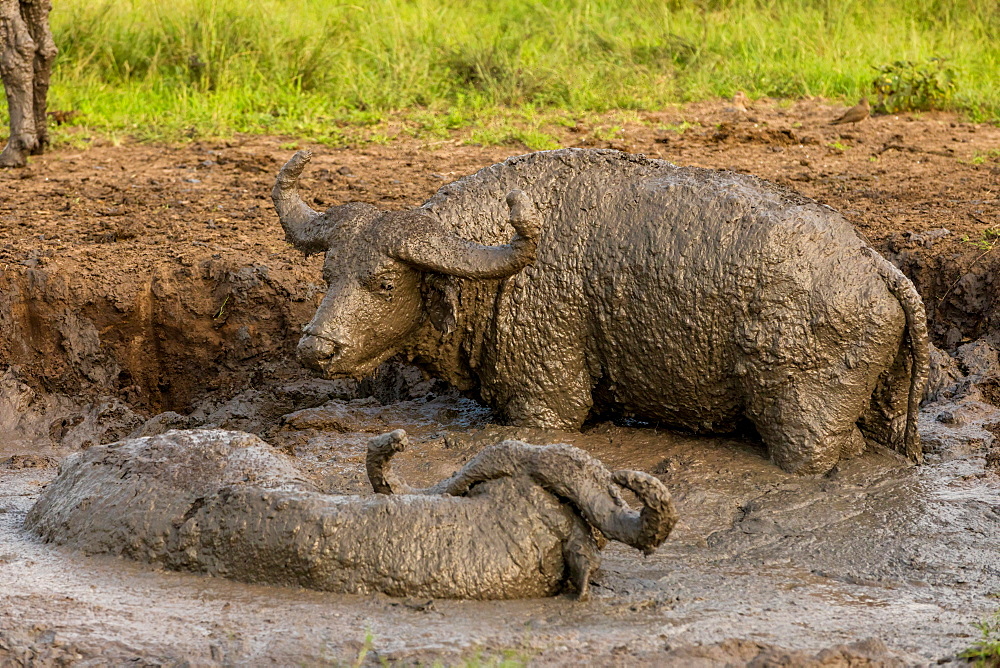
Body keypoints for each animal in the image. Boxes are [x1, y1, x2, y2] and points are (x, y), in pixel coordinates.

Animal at [274, 148, 928, 472]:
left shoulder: (545, 405)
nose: (314, 347)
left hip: (803, 428)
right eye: (328, 275)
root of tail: (877, 267)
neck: (501, 269)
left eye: (383, 283)